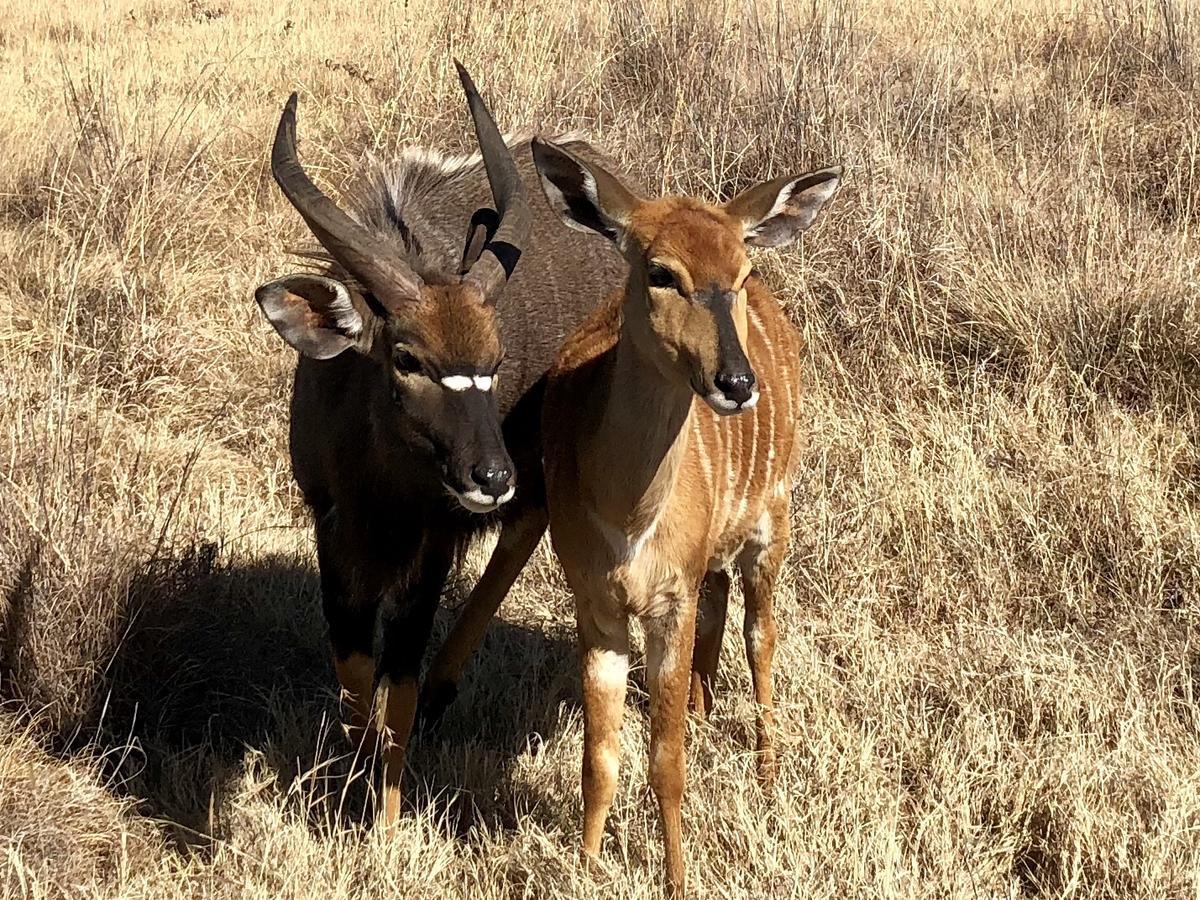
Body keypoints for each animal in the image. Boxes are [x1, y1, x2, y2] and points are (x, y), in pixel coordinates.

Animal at [535, 139, 844, 897]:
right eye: (660, 273)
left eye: (739, 273)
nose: (735, 383)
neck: (628, 514)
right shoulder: (597, 604)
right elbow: (600, 756)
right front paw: (587, 866)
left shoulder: (665, 602)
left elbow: (665, 763)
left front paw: (676, 879)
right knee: (721, 595)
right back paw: (707, 710)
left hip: (774, 518)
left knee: (761, 633)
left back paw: (767, 771)